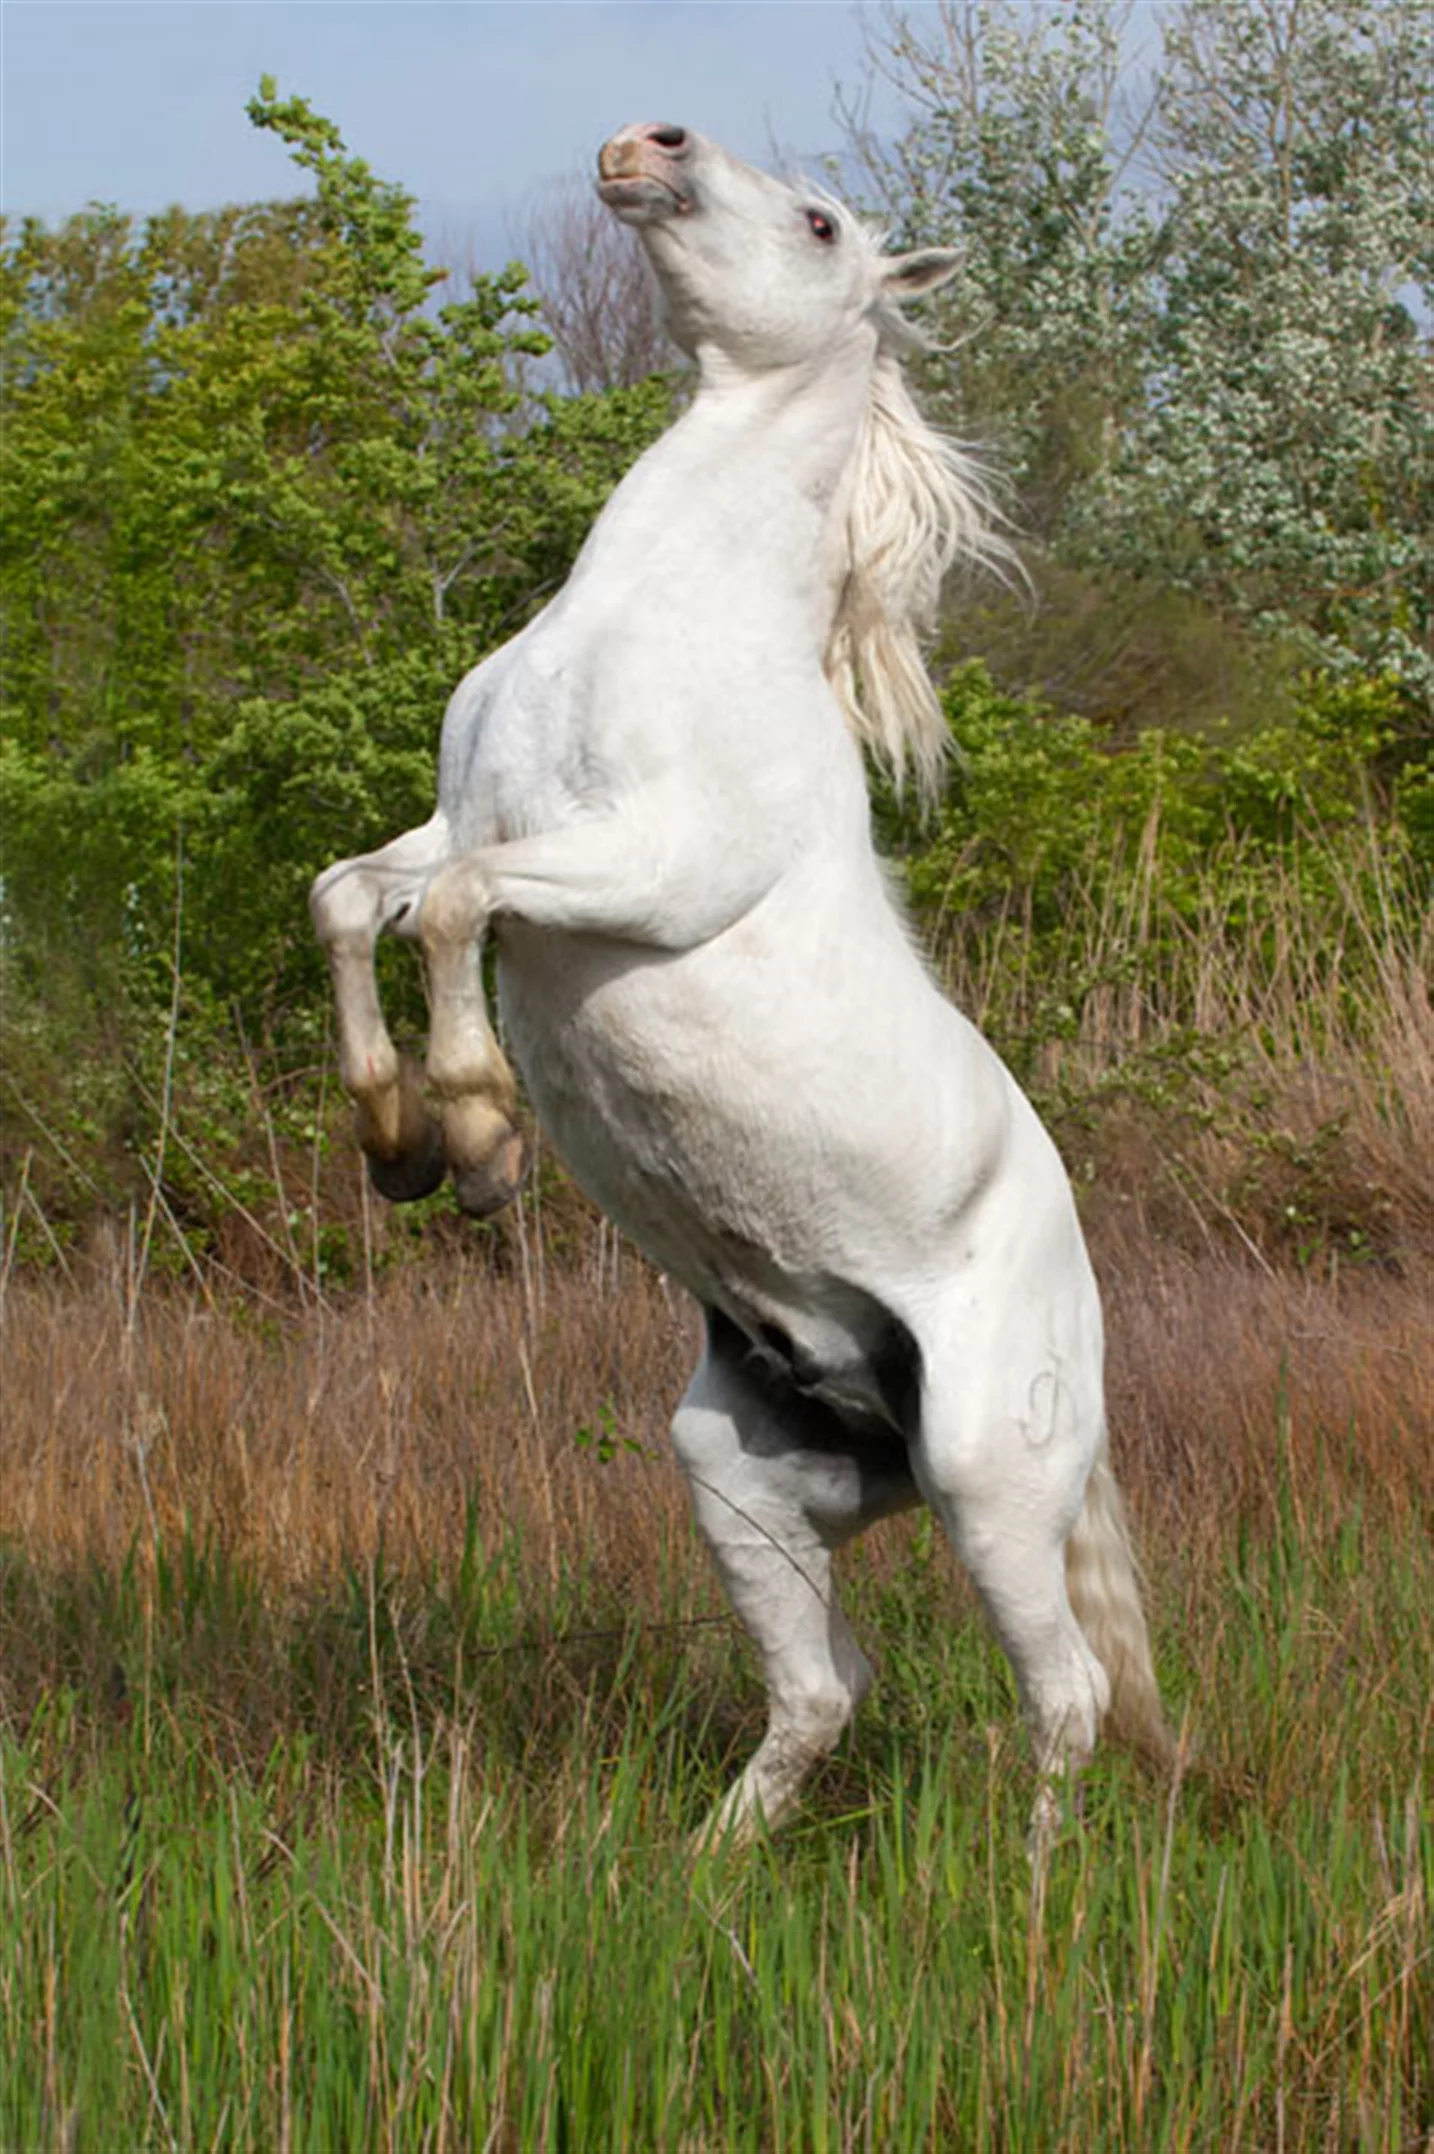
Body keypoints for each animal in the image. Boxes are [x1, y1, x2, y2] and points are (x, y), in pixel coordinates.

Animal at [307, 126, 1171, 1843]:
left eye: (823, 220)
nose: (645, 148)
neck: (650, 617)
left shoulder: (641, 867)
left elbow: (451, 914)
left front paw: (477, 1139)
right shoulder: (462, 817)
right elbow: (353, 899)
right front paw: (392, 1139)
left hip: (990, 1481)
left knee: (1066, 1697)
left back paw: (1030, 1881)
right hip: (738, 1476)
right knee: (825, 1687)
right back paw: (700, 1861)